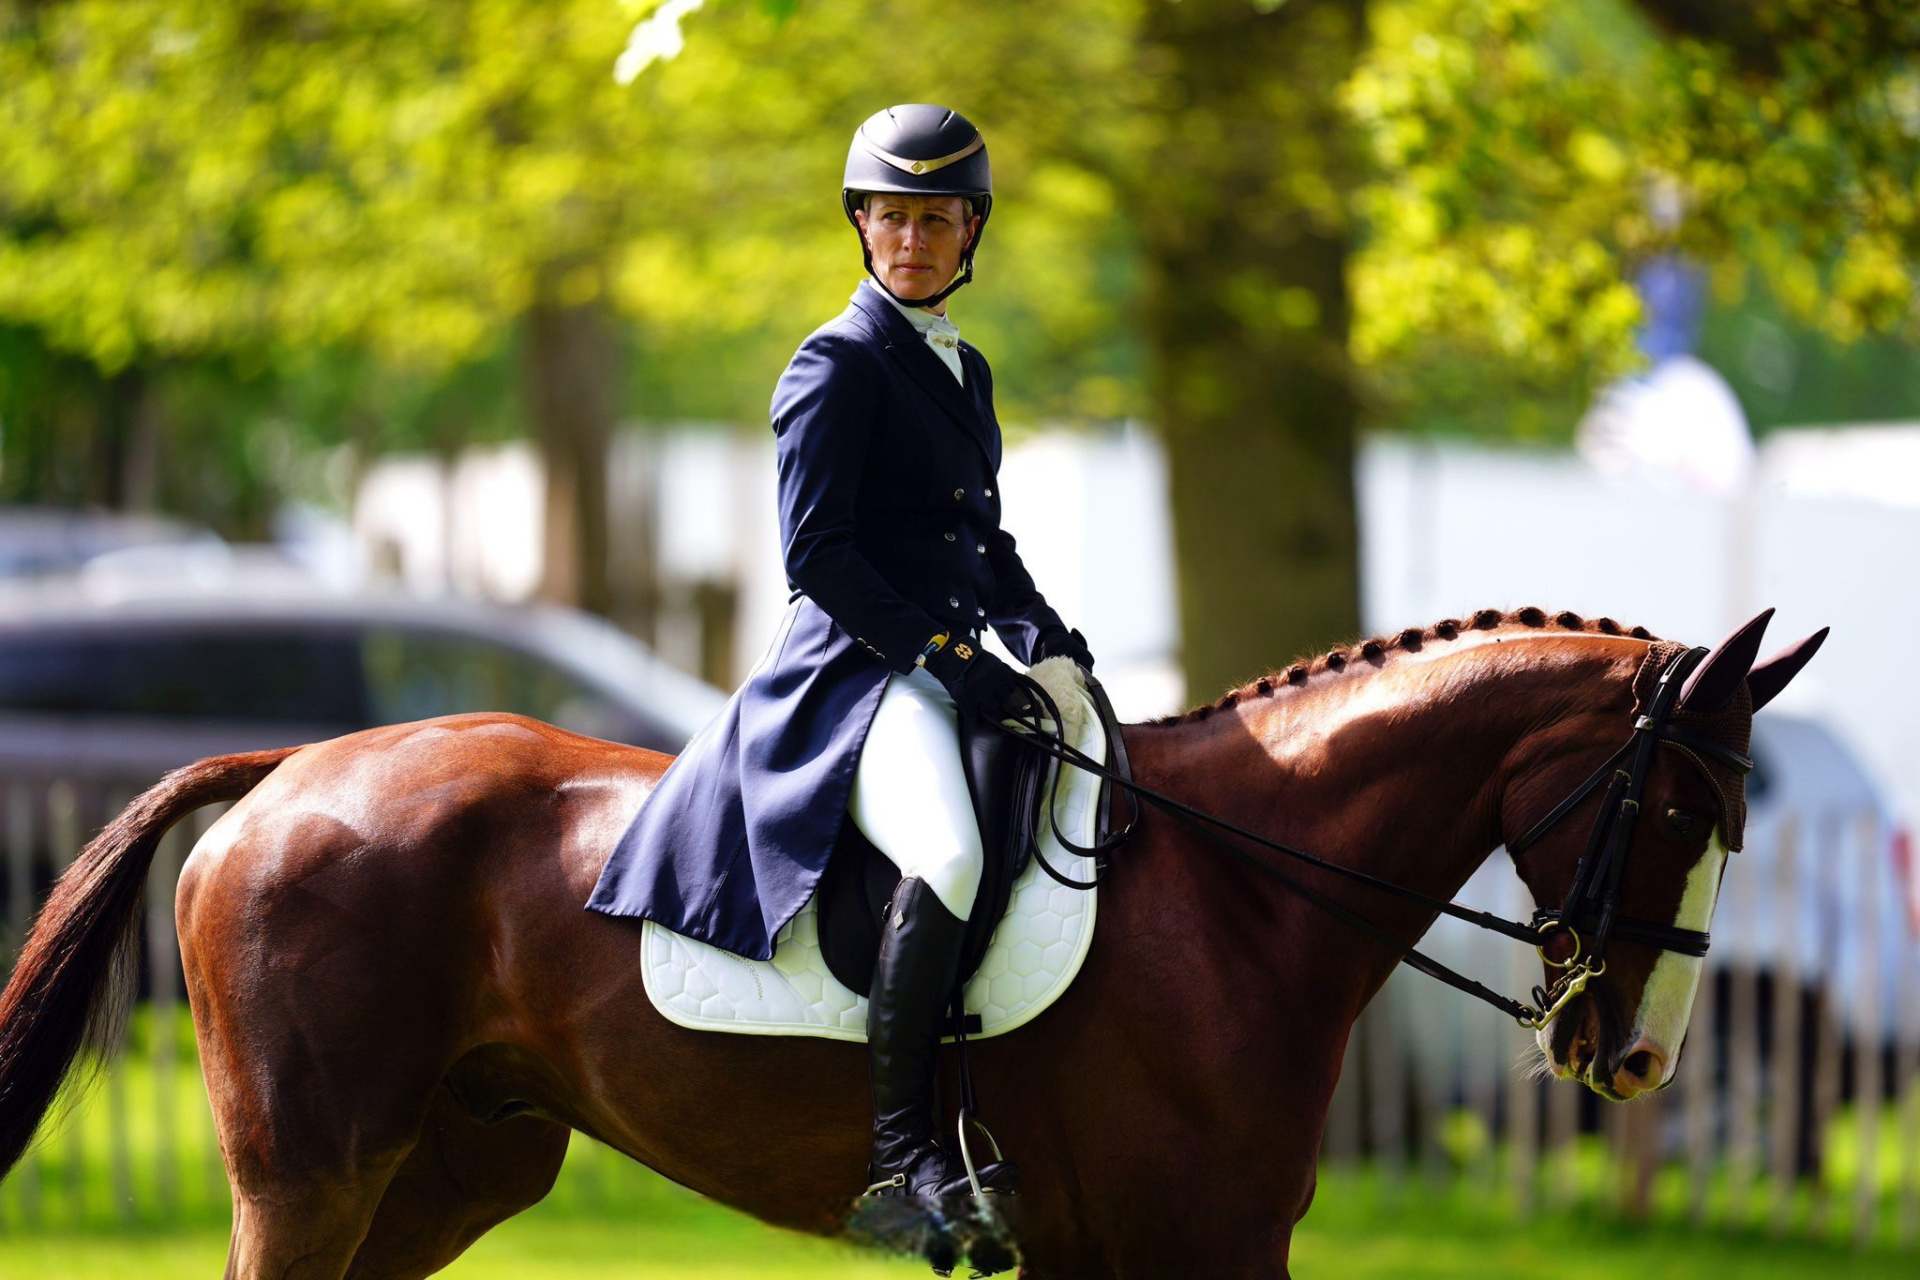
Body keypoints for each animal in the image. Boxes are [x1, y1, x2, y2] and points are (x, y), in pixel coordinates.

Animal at [0, 606, 1820, 1274]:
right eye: (1679, 806)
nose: (1635, 1056)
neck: (1244, 892)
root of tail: (285, 776)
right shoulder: (1192, 1242)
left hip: (455, 1169)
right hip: (310, 1177)